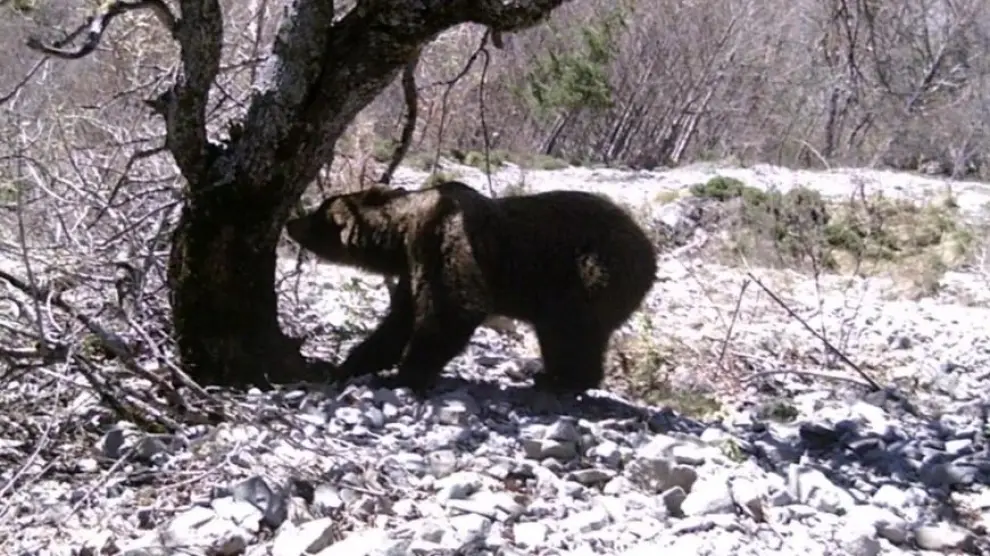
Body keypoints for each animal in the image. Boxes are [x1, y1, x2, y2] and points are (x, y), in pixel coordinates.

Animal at [284, 180, 658, 396]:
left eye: (317, 213)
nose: (290, 221)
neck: (400, 234)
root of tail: (650, 253)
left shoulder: (443, 241)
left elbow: (453, 308)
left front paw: (406, 374)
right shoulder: (414, 265)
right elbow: (398, 321)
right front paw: (349, 364)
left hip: (589, 273)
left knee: (569, 330)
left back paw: (563, 379)